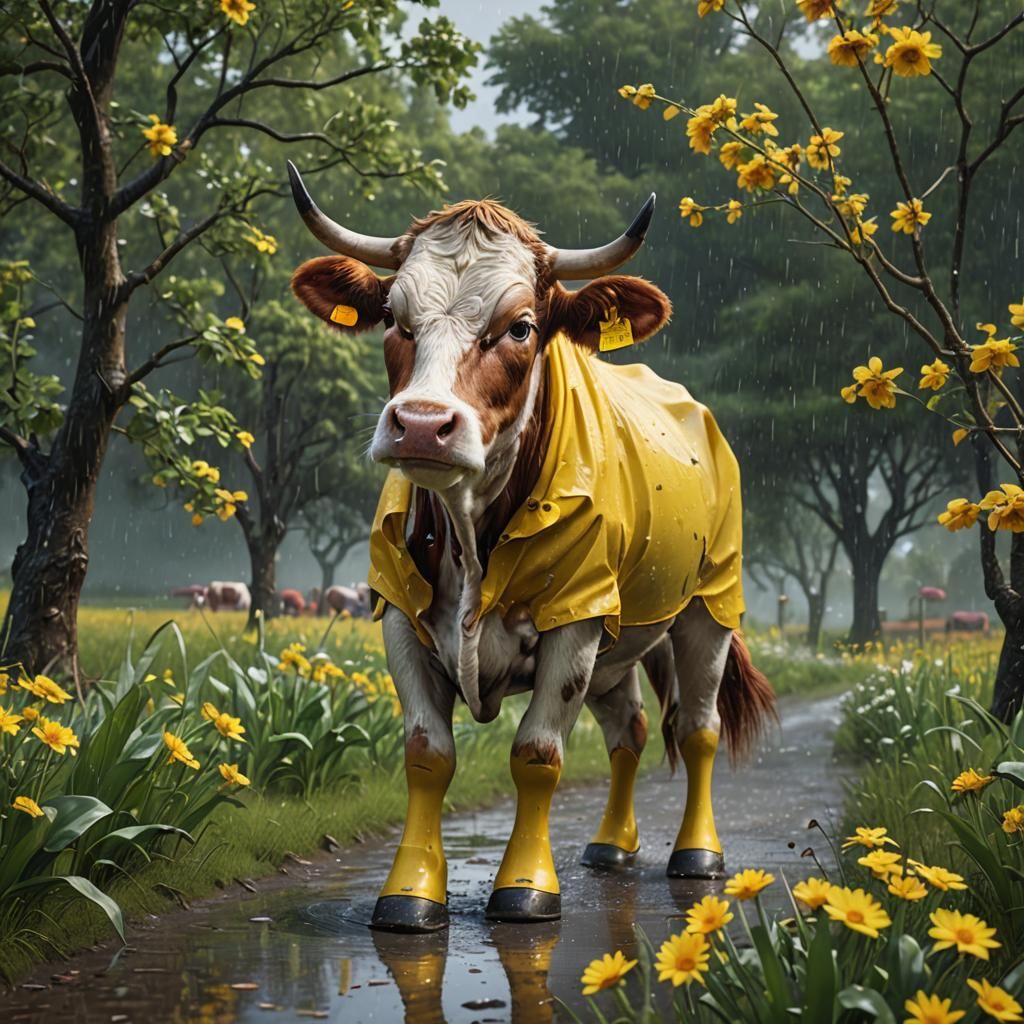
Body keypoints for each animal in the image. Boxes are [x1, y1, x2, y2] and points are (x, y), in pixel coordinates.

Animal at [287, 162, 775, 933]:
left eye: (519, 327)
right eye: (393, 319)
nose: (421, 425)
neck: (469, 531)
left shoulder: (573, 622)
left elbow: (538, 754)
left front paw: (525, 886)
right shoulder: (399, 616)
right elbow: (426, 754)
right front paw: (410, 892)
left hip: (708, 607)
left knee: (698, 727)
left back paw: (697, 854)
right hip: (618, 640)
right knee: (630, 730)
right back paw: (611, 845)